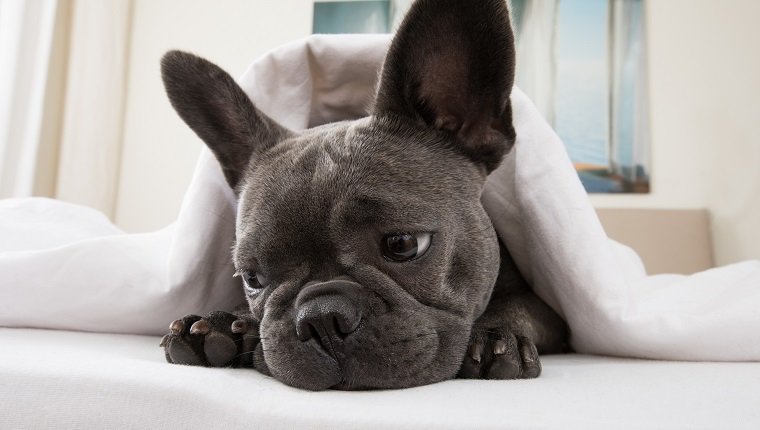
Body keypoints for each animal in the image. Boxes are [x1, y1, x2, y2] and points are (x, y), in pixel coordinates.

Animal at [159, 0, 564, 392]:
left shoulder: (553, 312)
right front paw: (224, 323)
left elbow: (521, 308)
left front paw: (497, 335)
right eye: (252, 279)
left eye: (404, 244)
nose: (321, 318)